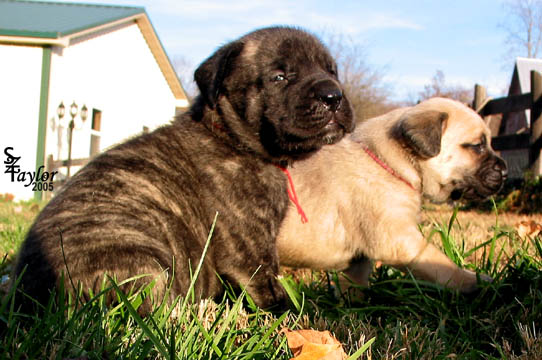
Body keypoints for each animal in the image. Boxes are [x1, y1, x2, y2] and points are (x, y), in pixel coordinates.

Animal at [12, 26, 354, 310]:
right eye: (279, 76)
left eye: (332, 70)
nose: (333, 95)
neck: (228, 135)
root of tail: (32, 299)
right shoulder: (250, 249)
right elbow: (270, 287)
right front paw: (296, 313)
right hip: (143, 256)